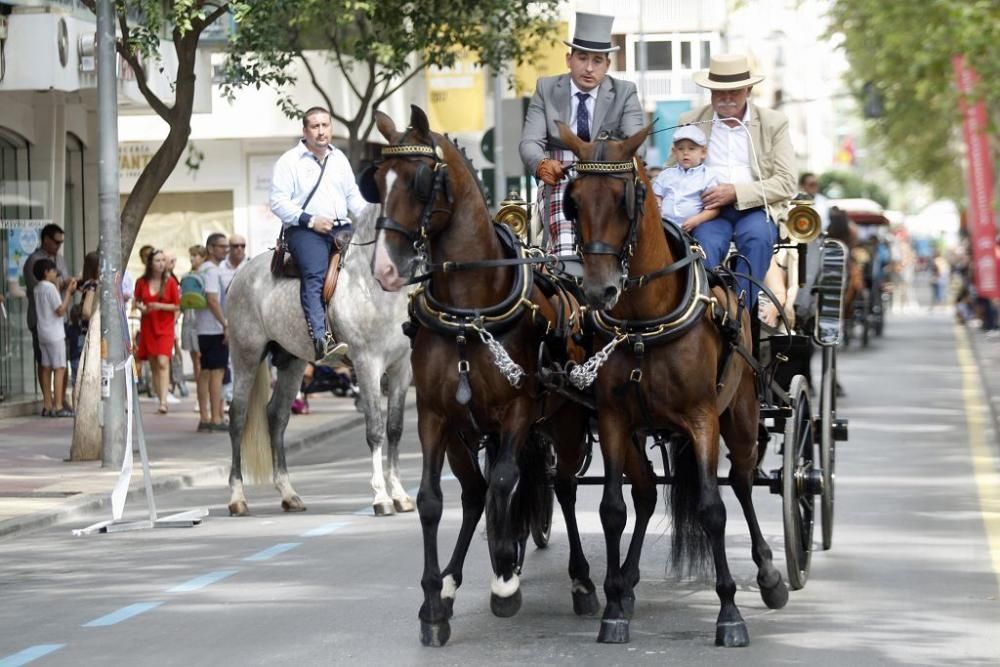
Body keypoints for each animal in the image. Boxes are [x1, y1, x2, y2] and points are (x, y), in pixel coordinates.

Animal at [227, 204, 414, 516]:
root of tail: (241, 274)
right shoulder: (367, 363)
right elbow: (375, 429)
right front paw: (381, 497)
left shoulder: (401, 367)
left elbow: (396, 429)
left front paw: (399, 494)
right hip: (246, 356)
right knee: (238, 418)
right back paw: (237, 498)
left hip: (291, 361)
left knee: (276, 415)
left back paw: (289, 494)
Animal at [370, 105, 596, 648]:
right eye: (376, 180)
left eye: (420, 180)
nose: (385, 269)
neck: (468, 312)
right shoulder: (435, 416)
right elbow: (433, 501)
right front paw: (434, 601)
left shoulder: (518, 410)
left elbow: (506, 481)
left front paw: (504, 577)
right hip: (466, 433)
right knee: (473, 496)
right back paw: (452, 581)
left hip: (565, 422)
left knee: (561, 487)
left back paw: (579, 580)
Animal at [560, 124, 784, 648]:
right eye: (572, 201)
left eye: (625, 198)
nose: (599, 290)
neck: (645, 322)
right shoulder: (615, 420)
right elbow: (613, 509)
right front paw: (613, 608)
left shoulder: (702, 419)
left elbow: (712, 508)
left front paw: (729, 614)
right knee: (644, 495)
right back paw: (626, 583)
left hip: (740, 417)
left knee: (742, 482)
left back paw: (768, 574)